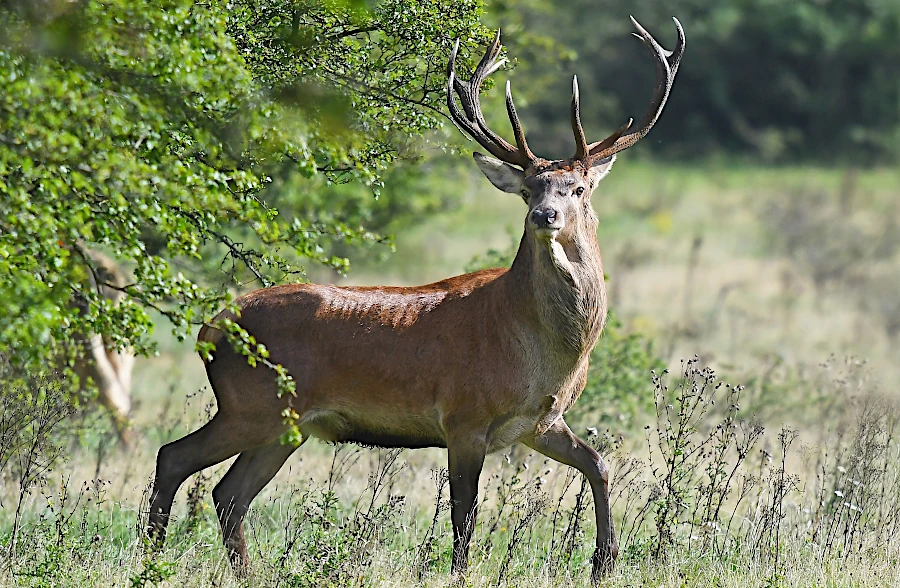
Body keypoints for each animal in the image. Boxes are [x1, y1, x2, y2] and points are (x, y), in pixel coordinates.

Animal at [147, 16, 684, 583]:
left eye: (578, 188)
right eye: (529, 190)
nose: (545, 216)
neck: (543, 354)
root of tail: (209, 330)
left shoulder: (541, 422)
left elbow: (598, 463)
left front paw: (605, 562)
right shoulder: (464, 416)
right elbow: (464, 516)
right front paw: (460, 573)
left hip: (285, 425)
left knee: (228, 494)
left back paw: (243, 572)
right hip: (251, 404)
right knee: (174, 457)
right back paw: (151, 556)